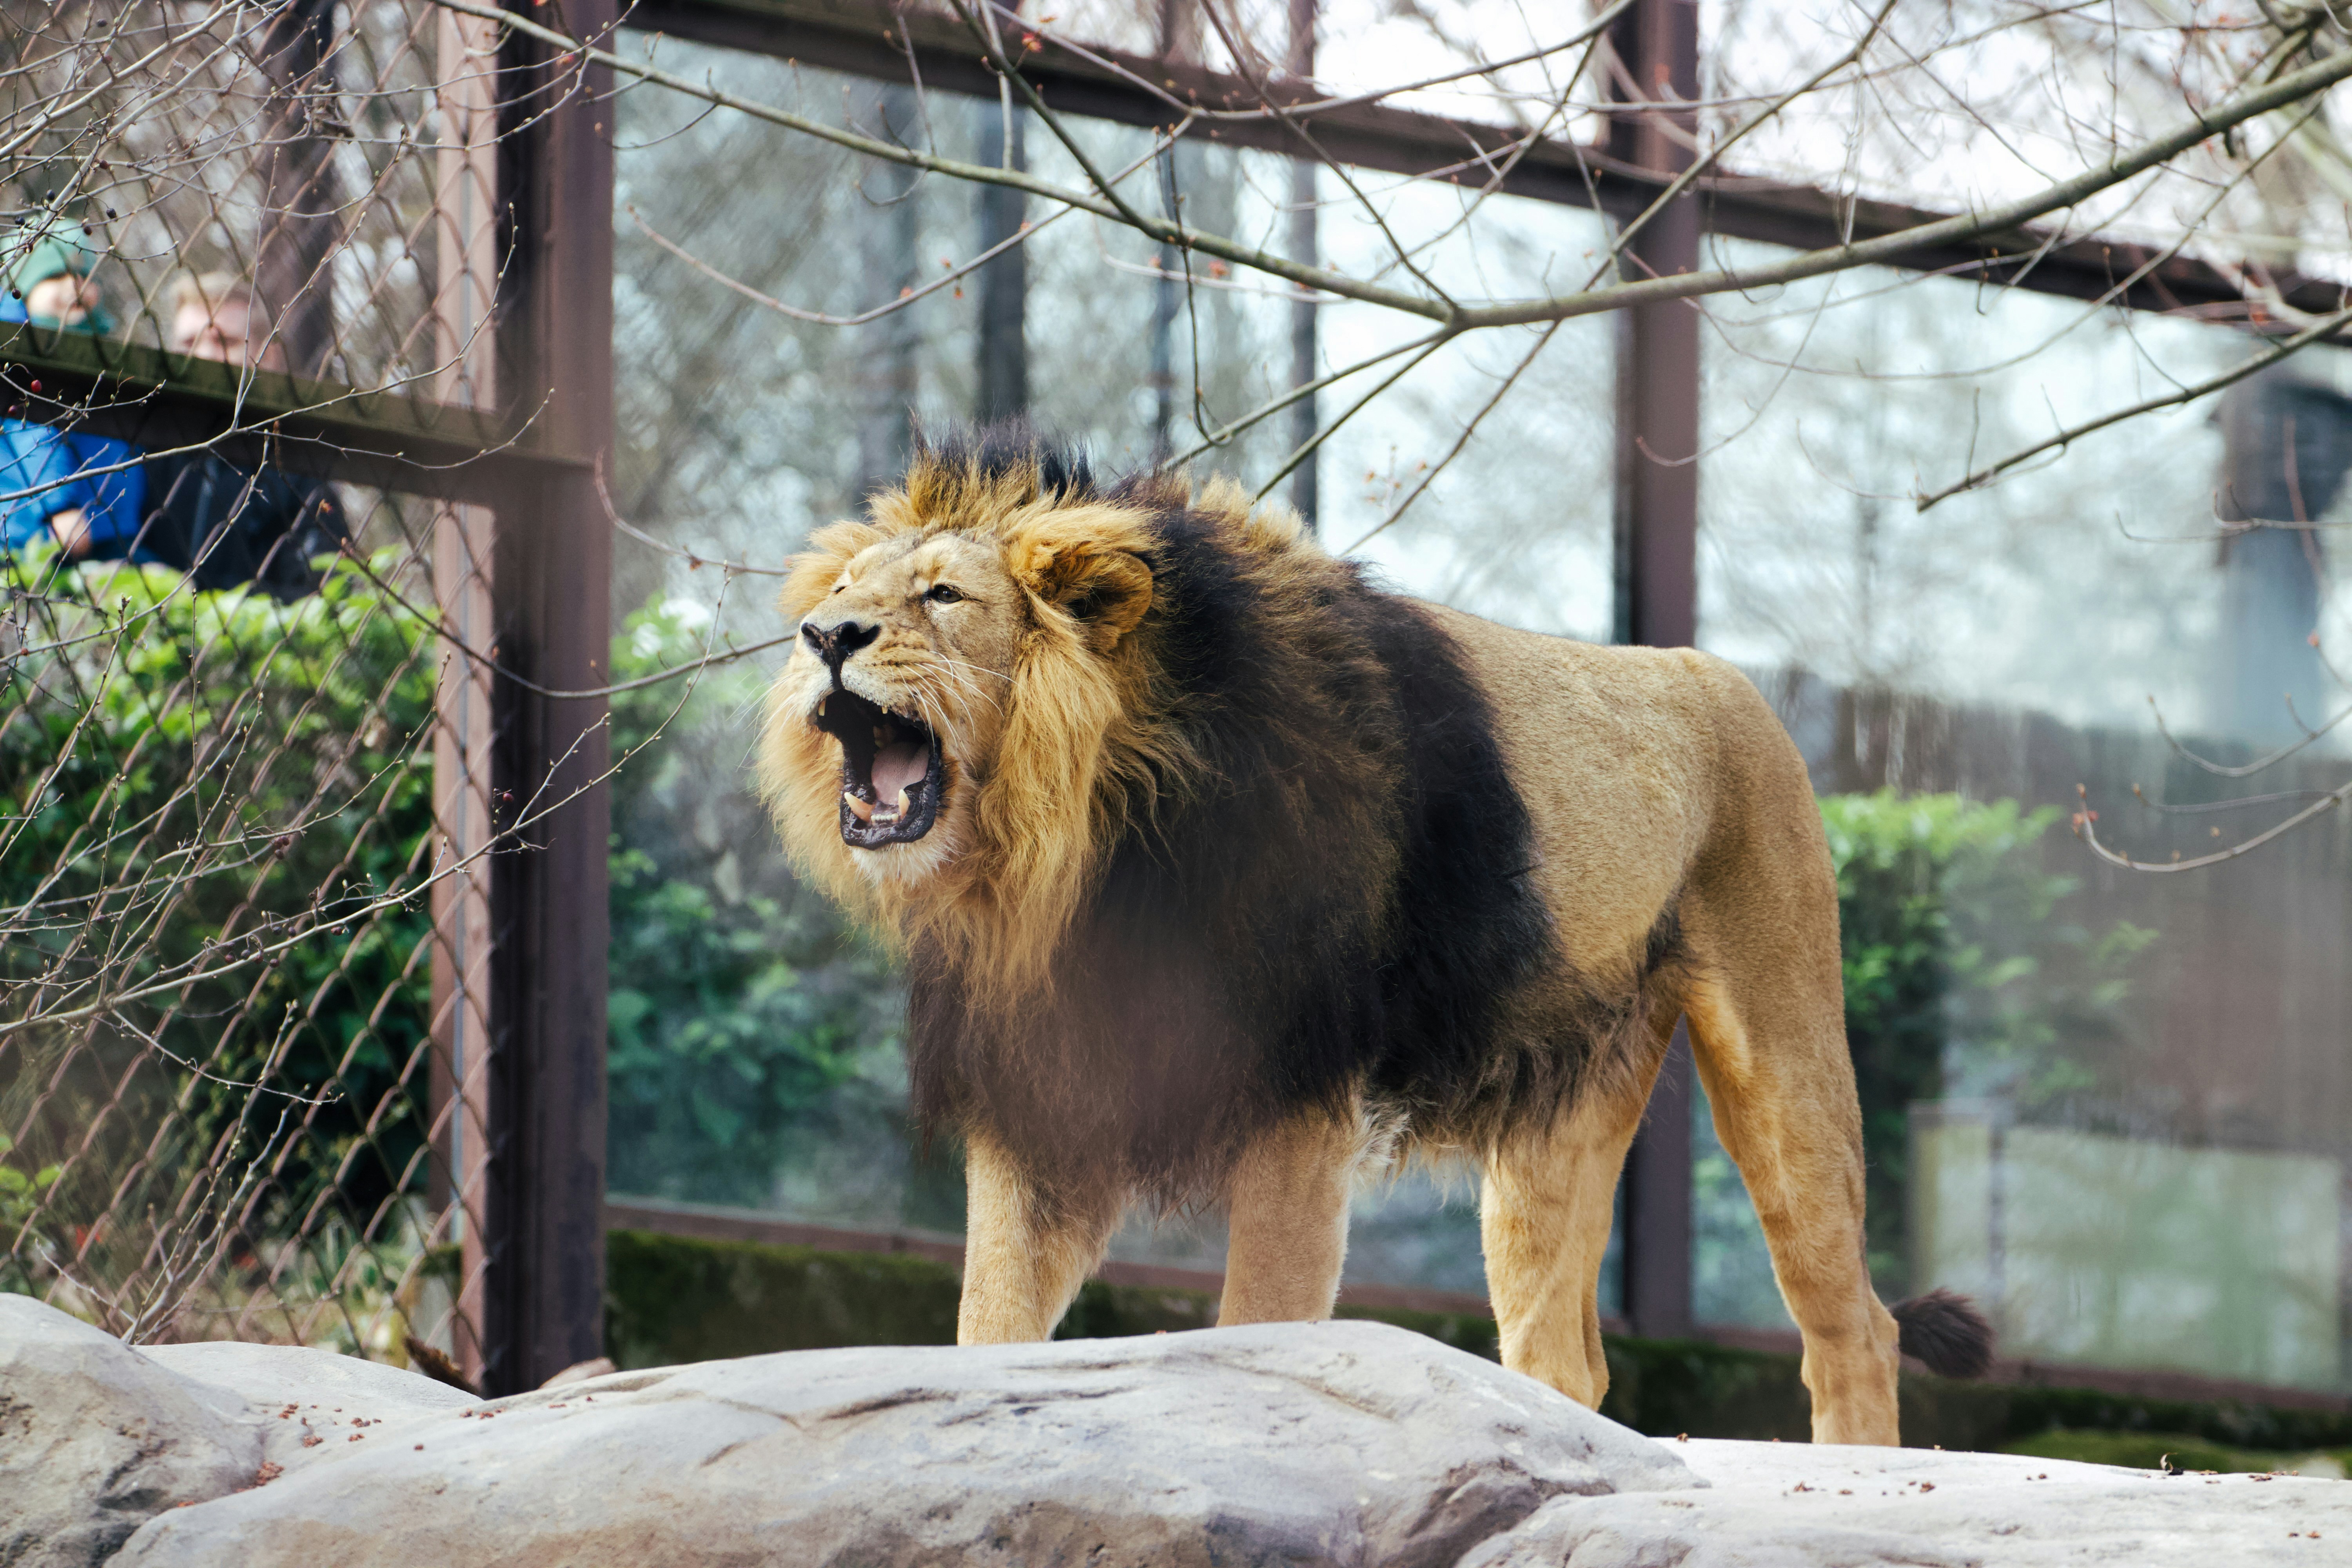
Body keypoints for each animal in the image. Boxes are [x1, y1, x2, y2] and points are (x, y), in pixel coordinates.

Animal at [759, 426, 1991, 1445]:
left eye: (942, 595)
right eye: (848, 592)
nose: (826, 636)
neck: (1076, 844)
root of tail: (1718, 673)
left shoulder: (1301, 1091)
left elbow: (1261, 1321)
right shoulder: (1045, 1089)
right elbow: (991, 1318)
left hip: (1785, 1056)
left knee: (1854, 1325)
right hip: (1561, 1112)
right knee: (1565, 1354)